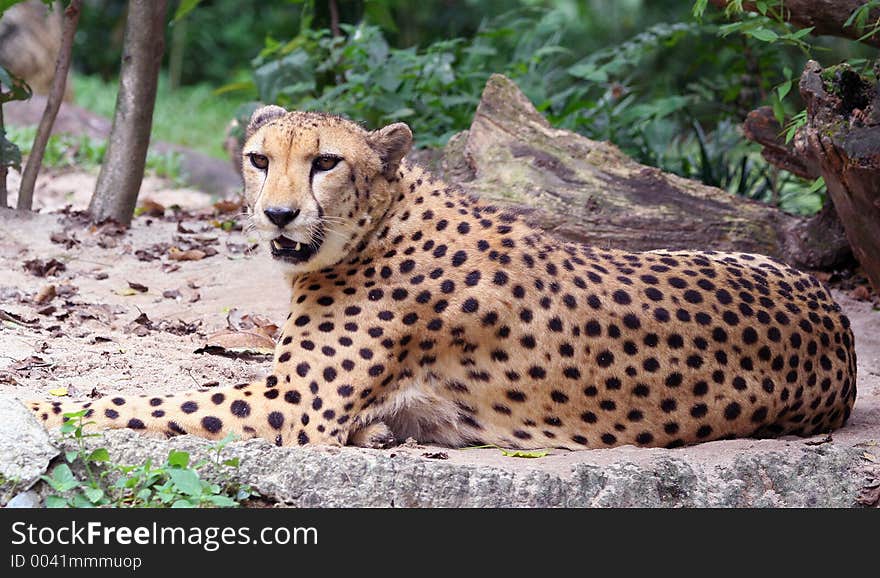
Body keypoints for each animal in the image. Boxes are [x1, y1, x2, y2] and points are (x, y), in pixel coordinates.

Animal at [25, 107, 852, 450]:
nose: (278, 215)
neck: (378, 222)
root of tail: (837, 324)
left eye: (327, 163)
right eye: (260, 159)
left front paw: (37, 406)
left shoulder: (292, 408)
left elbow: (136, 405)